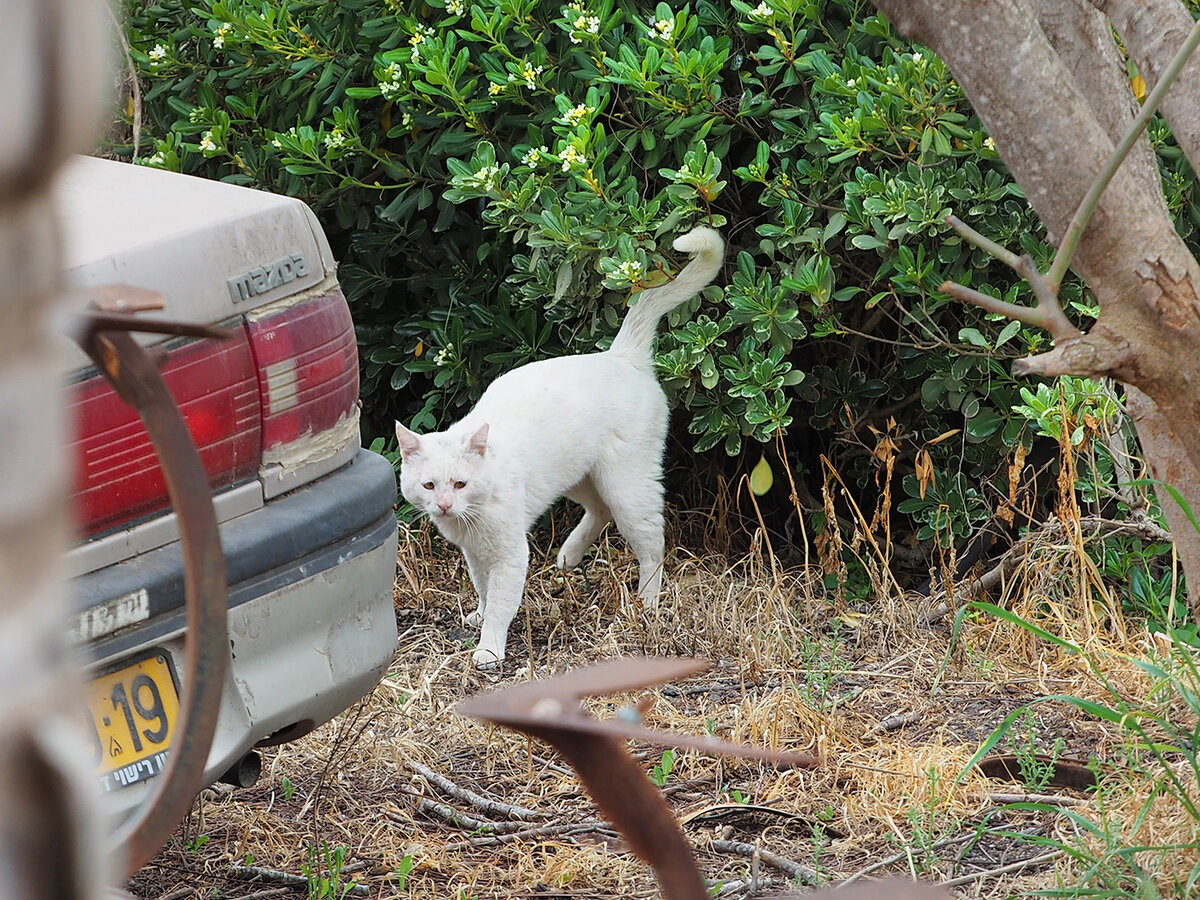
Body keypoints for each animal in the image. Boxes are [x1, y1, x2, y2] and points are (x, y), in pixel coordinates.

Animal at [398, 229, 724, 667]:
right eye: (430, 486)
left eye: (460, 484)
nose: (445, 505)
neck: (468, 520)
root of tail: (620, 355)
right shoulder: (474, 553)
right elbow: (482, 588)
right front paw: (478, 616)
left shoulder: (510, 554)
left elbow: (501, 603)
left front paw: (489, 649)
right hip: (577, 478)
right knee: (600, 510)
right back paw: (569, 556)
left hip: (628, 485)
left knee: (653, 544)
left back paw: (647, 603)